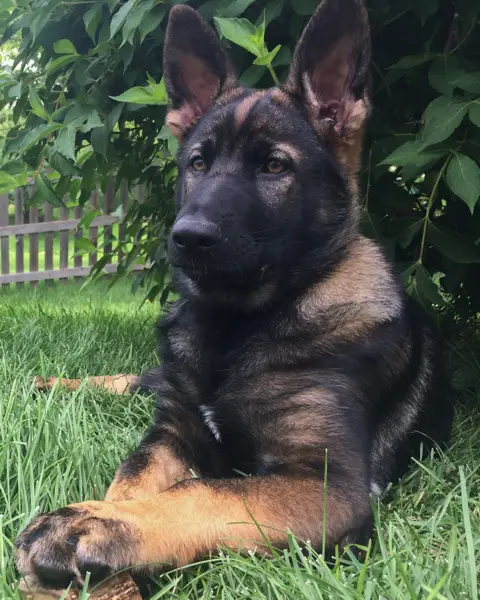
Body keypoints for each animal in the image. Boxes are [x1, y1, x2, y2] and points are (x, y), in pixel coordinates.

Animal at [15, 0, 454, 592]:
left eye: (275, 165)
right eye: (197, 163)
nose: (187, 238)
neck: (238, 329)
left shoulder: (325, 487)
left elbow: (200, 492)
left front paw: (95, 526)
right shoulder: (170, 433)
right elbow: (130, 480)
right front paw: (108, 522)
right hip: (161, 381)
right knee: (131, 379)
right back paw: (45, 382)